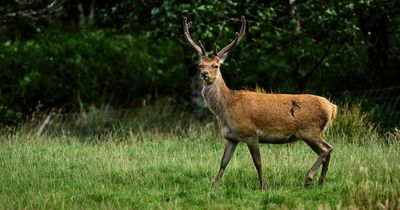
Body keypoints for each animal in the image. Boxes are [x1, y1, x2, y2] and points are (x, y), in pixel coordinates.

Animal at [183, 16, 336, 190]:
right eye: (200, 64)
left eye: (216, 65)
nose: (204, 73)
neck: (226, 108)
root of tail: (332, 107)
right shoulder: (231, 137)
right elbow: (223, 162)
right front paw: (215, 185)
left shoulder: (250, 133)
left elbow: (258, 163)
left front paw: (263, 185)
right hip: (313, 132)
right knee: (326, 151)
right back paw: (321, 182)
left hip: (310, 130)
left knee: (327, 149)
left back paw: (309, 178)